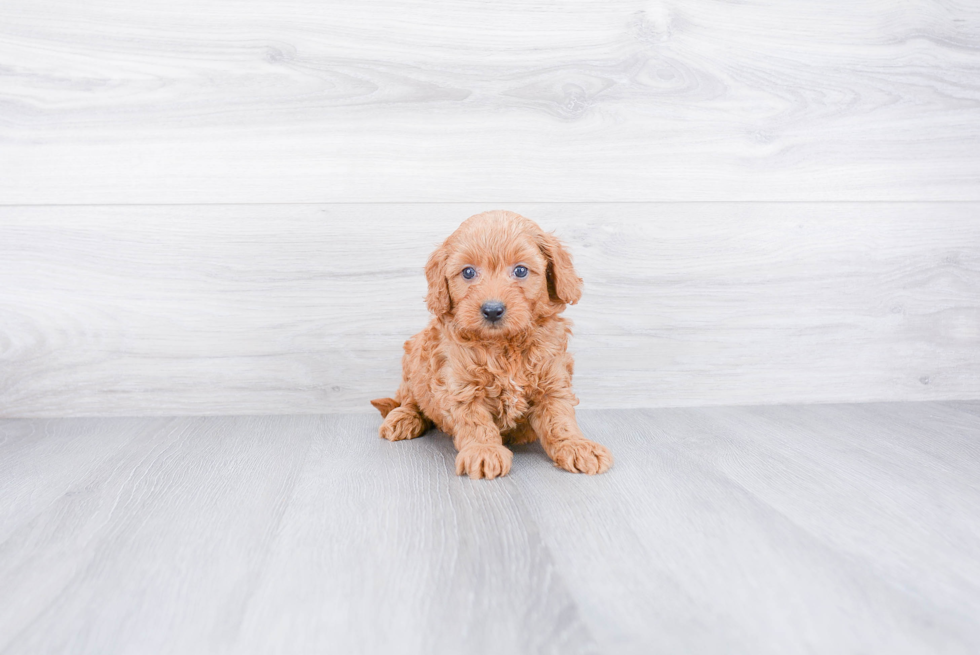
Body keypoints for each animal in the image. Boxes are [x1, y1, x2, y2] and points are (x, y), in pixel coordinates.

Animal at [374, 213, 612, 480]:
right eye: (468, 272)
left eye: (520, 270)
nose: (492, 310)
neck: (504, 345)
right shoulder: (462, 386)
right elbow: (475, 420)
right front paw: (483, 450)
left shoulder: (552, 381)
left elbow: (560, 419)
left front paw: (576, 445)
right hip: (414, 355)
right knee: (409, 398)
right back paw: (403, 418)